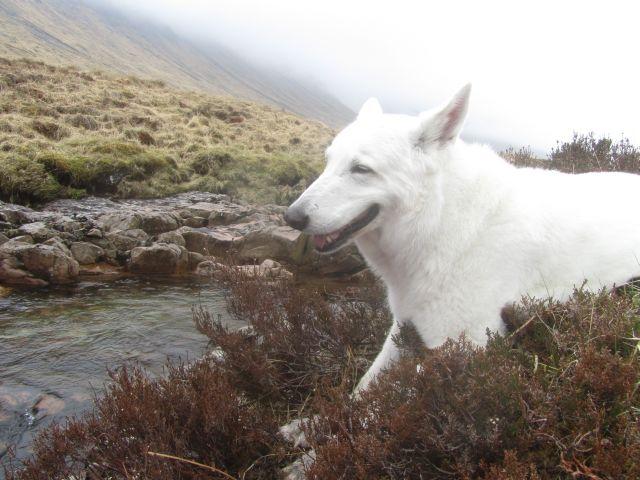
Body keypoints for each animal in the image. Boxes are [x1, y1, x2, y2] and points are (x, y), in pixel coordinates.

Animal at [280, 85, 640, 472]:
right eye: (329, 161)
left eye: (361, 169)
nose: (292, 217)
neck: (442, 220)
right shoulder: (403, 328)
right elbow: (366, 386)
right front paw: (310, 425)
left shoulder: (462, 348)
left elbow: (385, 403)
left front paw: (322, 448)